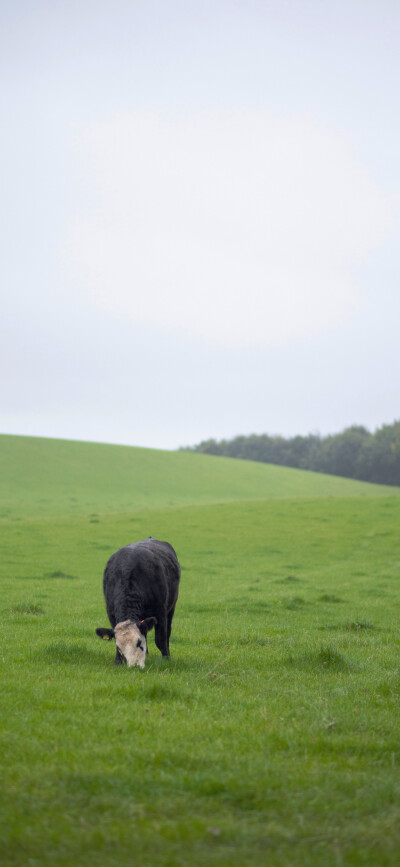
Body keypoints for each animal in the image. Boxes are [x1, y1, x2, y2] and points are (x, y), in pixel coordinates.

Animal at [95, 536, 180, 672]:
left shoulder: (160, 612)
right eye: (120, 647)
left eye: (139, 643)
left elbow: (160, 639)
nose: (134, 665)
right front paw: (117, 662)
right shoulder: (111, 613)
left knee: (167, 632)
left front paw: (166, 659)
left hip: (171, 608)